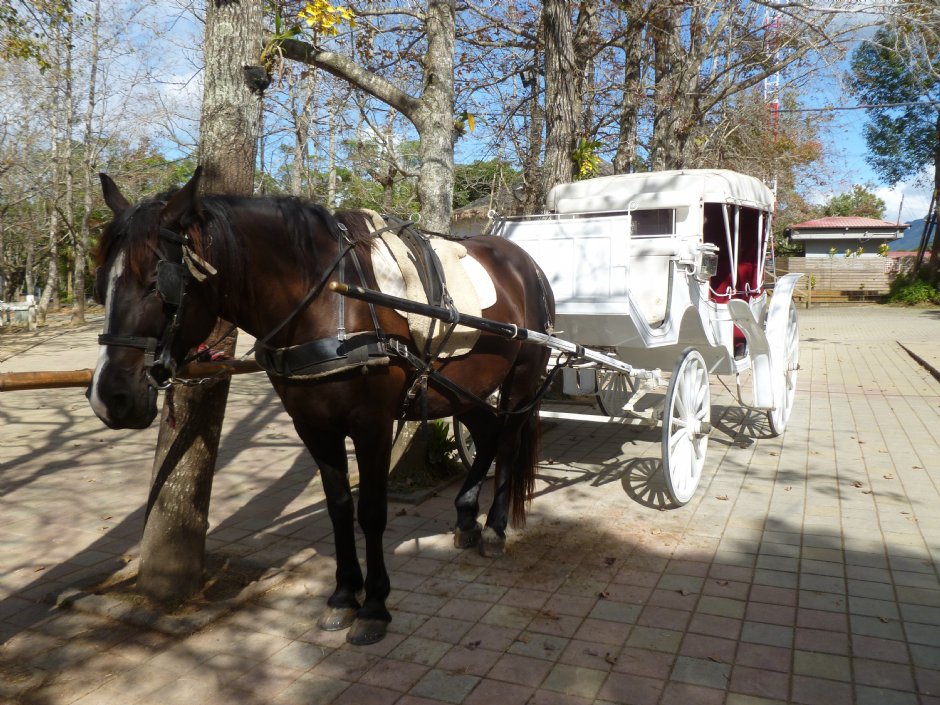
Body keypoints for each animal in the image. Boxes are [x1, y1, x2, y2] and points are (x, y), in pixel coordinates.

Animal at [87, 168, 555, 645]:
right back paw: (466, 517)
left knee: (509, 442)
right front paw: (344, 596)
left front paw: (374, 606)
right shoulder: (312, 425)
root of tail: (527, 264)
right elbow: (339, 508)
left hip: (521, 380)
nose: (109, 397)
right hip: (463, 388)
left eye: (158, 283)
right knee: (488, 435)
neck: (326, 302)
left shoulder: (372, 425)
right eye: (101, 284)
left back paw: (495, 528)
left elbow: (371, 511)